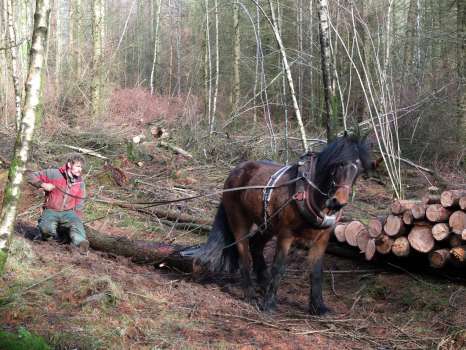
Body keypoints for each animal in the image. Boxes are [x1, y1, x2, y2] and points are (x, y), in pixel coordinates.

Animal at [181, 134, 372, 314]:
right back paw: (250, 293)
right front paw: (269, 304)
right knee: (244, 254)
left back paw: (263, 282)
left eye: (360, 169)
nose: (338, 202)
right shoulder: (286, 235)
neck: (310, 193)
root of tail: (236, 171)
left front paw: (318, 307)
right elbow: (279, 268)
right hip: (239, 220)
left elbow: (317, 272)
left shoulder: (322, 239)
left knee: (256, 245)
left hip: (268, 225)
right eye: (339, 164)